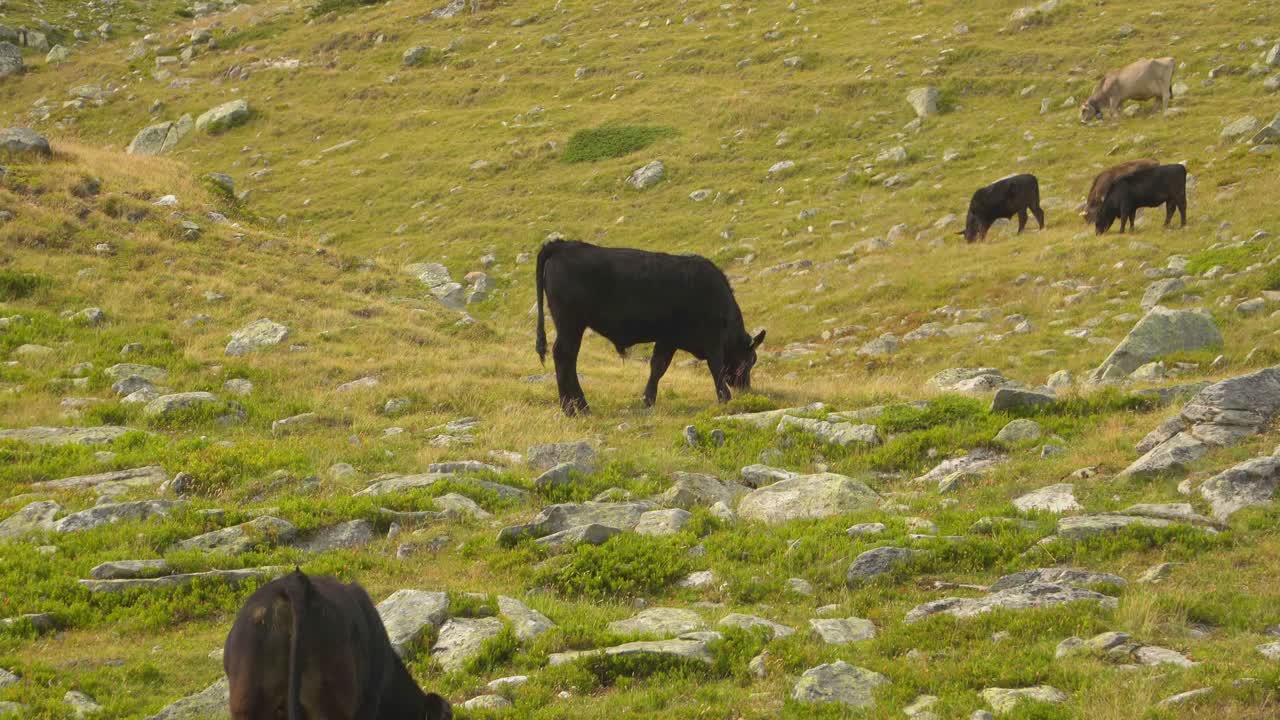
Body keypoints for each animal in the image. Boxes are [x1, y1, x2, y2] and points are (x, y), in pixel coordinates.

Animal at [535, 239, 765, 416]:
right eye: (749, 361)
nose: (746, 389)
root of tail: (562, 245)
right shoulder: (712, 340)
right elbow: (716, 367)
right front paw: (725, 398)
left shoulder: (668, 338)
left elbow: (658, 367)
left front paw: (648, 399)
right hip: (570, 323)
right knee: (564, 357)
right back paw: (576, 408)